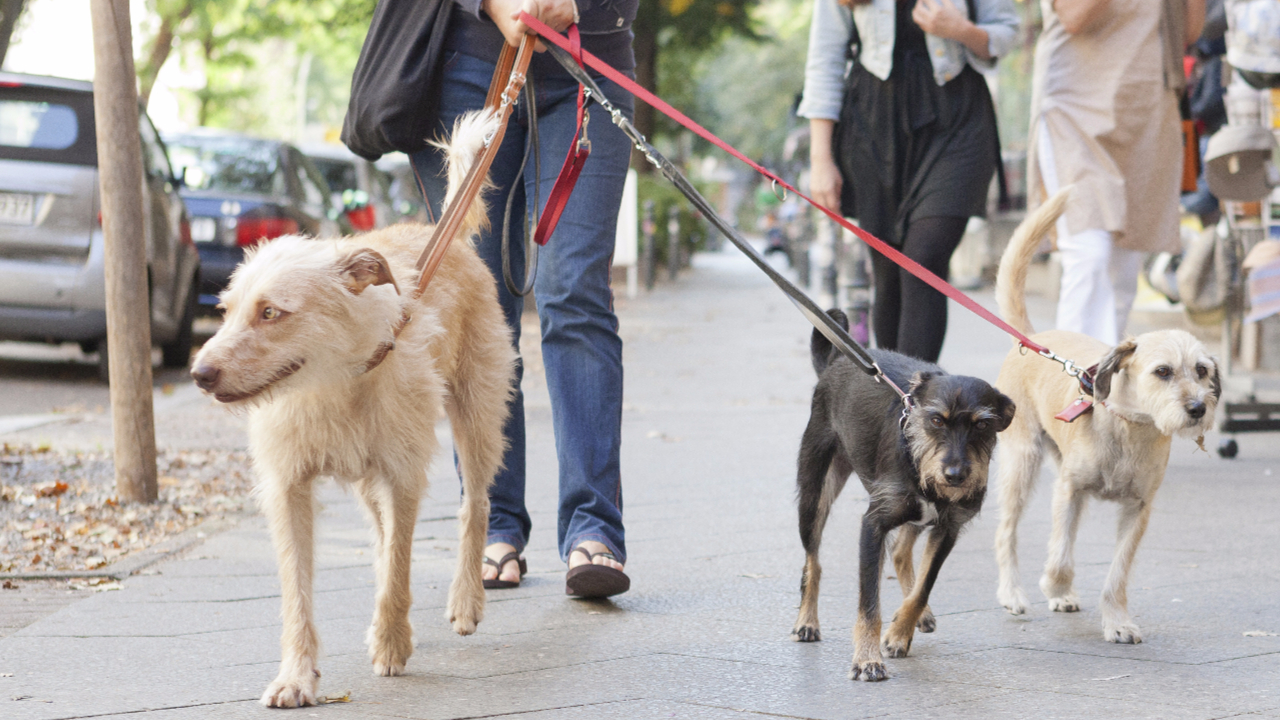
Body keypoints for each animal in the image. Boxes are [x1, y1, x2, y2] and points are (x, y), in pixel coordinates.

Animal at [188, 112, 514, 707]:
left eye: (270, 312)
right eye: (226, 311)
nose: (199, 374)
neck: (329, 386)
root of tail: (443, 235)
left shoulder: (404, 474)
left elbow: (401, 570)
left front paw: (392, 643)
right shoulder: (288, 490)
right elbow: (299, 593)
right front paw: (296, 676)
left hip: (476, 417)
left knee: (474, 505)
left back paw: (466, 599)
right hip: (369, 477)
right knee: (384, 537)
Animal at [783, 308, 1013, 676]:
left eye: (982, 424)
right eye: (936, 420)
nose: (955, 476)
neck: (915, 457)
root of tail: (835, 362)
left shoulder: (947, 529)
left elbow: (922, 587)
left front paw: (899, 633)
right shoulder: (874, 524)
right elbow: (868, 603)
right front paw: (867, 658)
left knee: (902, 553)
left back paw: (918, 617)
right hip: (813, 496)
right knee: (813, 560)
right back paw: (806, 621)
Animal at [988, 188, 1218, 640]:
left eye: (1201, 371)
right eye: (1162, 372)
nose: (1198, 409)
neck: (1130, 428)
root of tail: (1035, 338)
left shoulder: (1139, 509)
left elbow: (1118, 573)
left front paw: (1116, 621)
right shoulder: (1069, 490)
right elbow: (1060, 557)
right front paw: (1055, 585)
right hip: (1021, 463)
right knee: (1006, 532)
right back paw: (1012, 593)